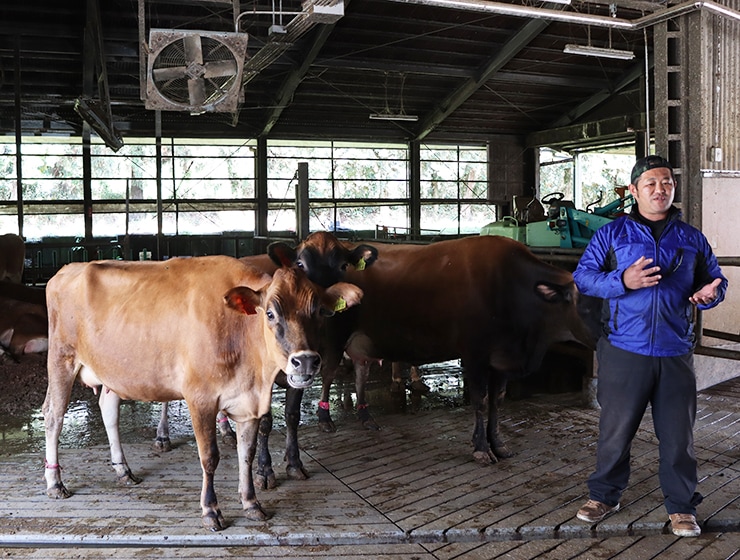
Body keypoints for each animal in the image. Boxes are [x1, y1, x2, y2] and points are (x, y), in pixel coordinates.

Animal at [42, 256, 362, 532]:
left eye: (318, 311)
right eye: (270, 313)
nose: (305, 361)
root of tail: (67, 269)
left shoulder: (248, 403)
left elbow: (246, 454)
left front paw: (251, 503)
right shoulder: (200, 398)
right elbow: (210, 457)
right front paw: (211, 510)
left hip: (110, 370)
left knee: (108, 410)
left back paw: (123, 471)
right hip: (61, 358)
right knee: (53, 415)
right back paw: (55, 482)